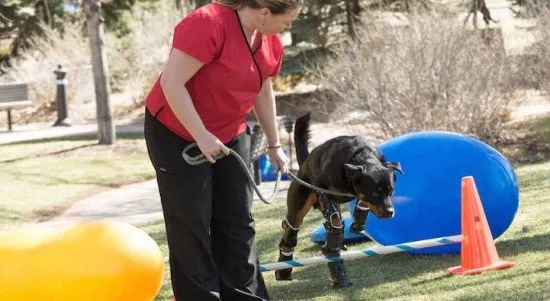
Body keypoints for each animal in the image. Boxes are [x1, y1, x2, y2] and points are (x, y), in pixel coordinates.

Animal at [278, 112, 404, 286]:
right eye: (374, 194)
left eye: (391, 191)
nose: (390, 212)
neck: (360, 158)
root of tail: (304, 164)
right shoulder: (321, 186)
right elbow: (334, 218)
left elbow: (361, 205)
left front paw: (359, 216)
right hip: (298, 205)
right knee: (292, 229)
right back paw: (283, 269)